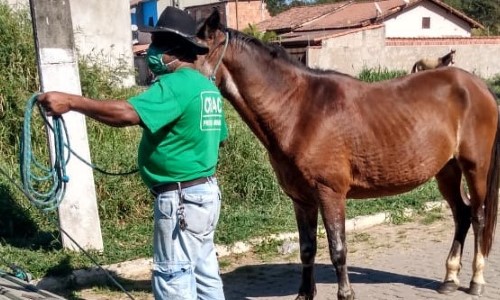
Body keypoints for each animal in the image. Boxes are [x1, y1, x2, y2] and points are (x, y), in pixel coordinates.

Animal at [197, 9, 498, 300]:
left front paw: (346, 293)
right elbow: (307, 249)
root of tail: (478, 86)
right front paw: (304, 294)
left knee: (478, 216)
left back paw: (476, 280)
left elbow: (338, 249)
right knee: (461, 214)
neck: (299, 109)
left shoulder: (331, 194)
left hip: (475, 167)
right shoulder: (301, 199)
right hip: (447, 170)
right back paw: (449, 279)